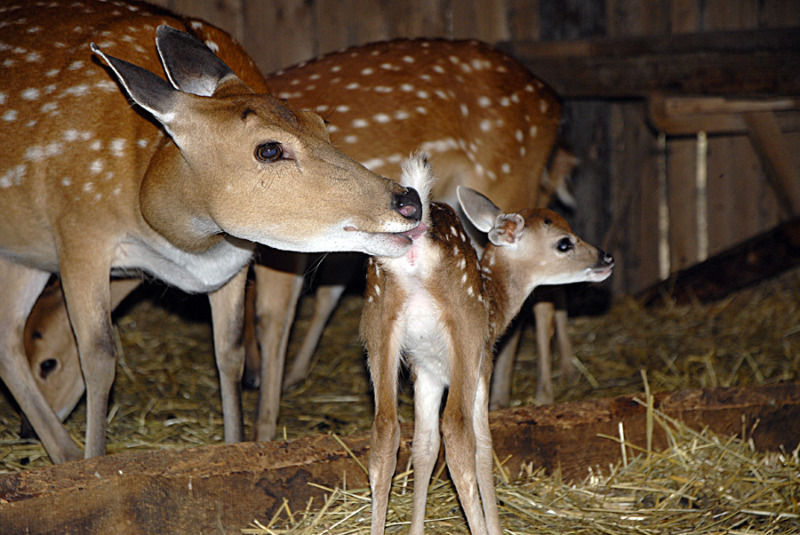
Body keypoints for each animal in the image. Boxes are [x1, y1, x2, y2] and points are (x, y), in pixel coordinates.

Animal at [0, 0, 422, 462]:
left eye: (321, 121)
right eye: (269, 149)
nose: (409, 201)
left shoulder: (233, 262)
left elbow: (229, 352)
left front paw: (236, 443)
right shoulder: (78, 232)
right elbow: (98, 357)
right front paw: (95, 460)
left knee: (6, 336)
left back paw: (60, 450)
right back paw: (66, 455)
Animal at [362, 153, 612, 532]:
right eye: (564, 242)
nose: (606, 258)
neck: (496, 304)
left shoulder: (426, 371)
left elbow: (423, 446)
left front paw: (417, 528)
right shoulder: (483, 365)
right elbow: (483, 448)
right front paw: (493, 525)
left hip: (379, 326)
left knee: (384, 433)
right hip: (465, 331)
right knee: (457, 433)